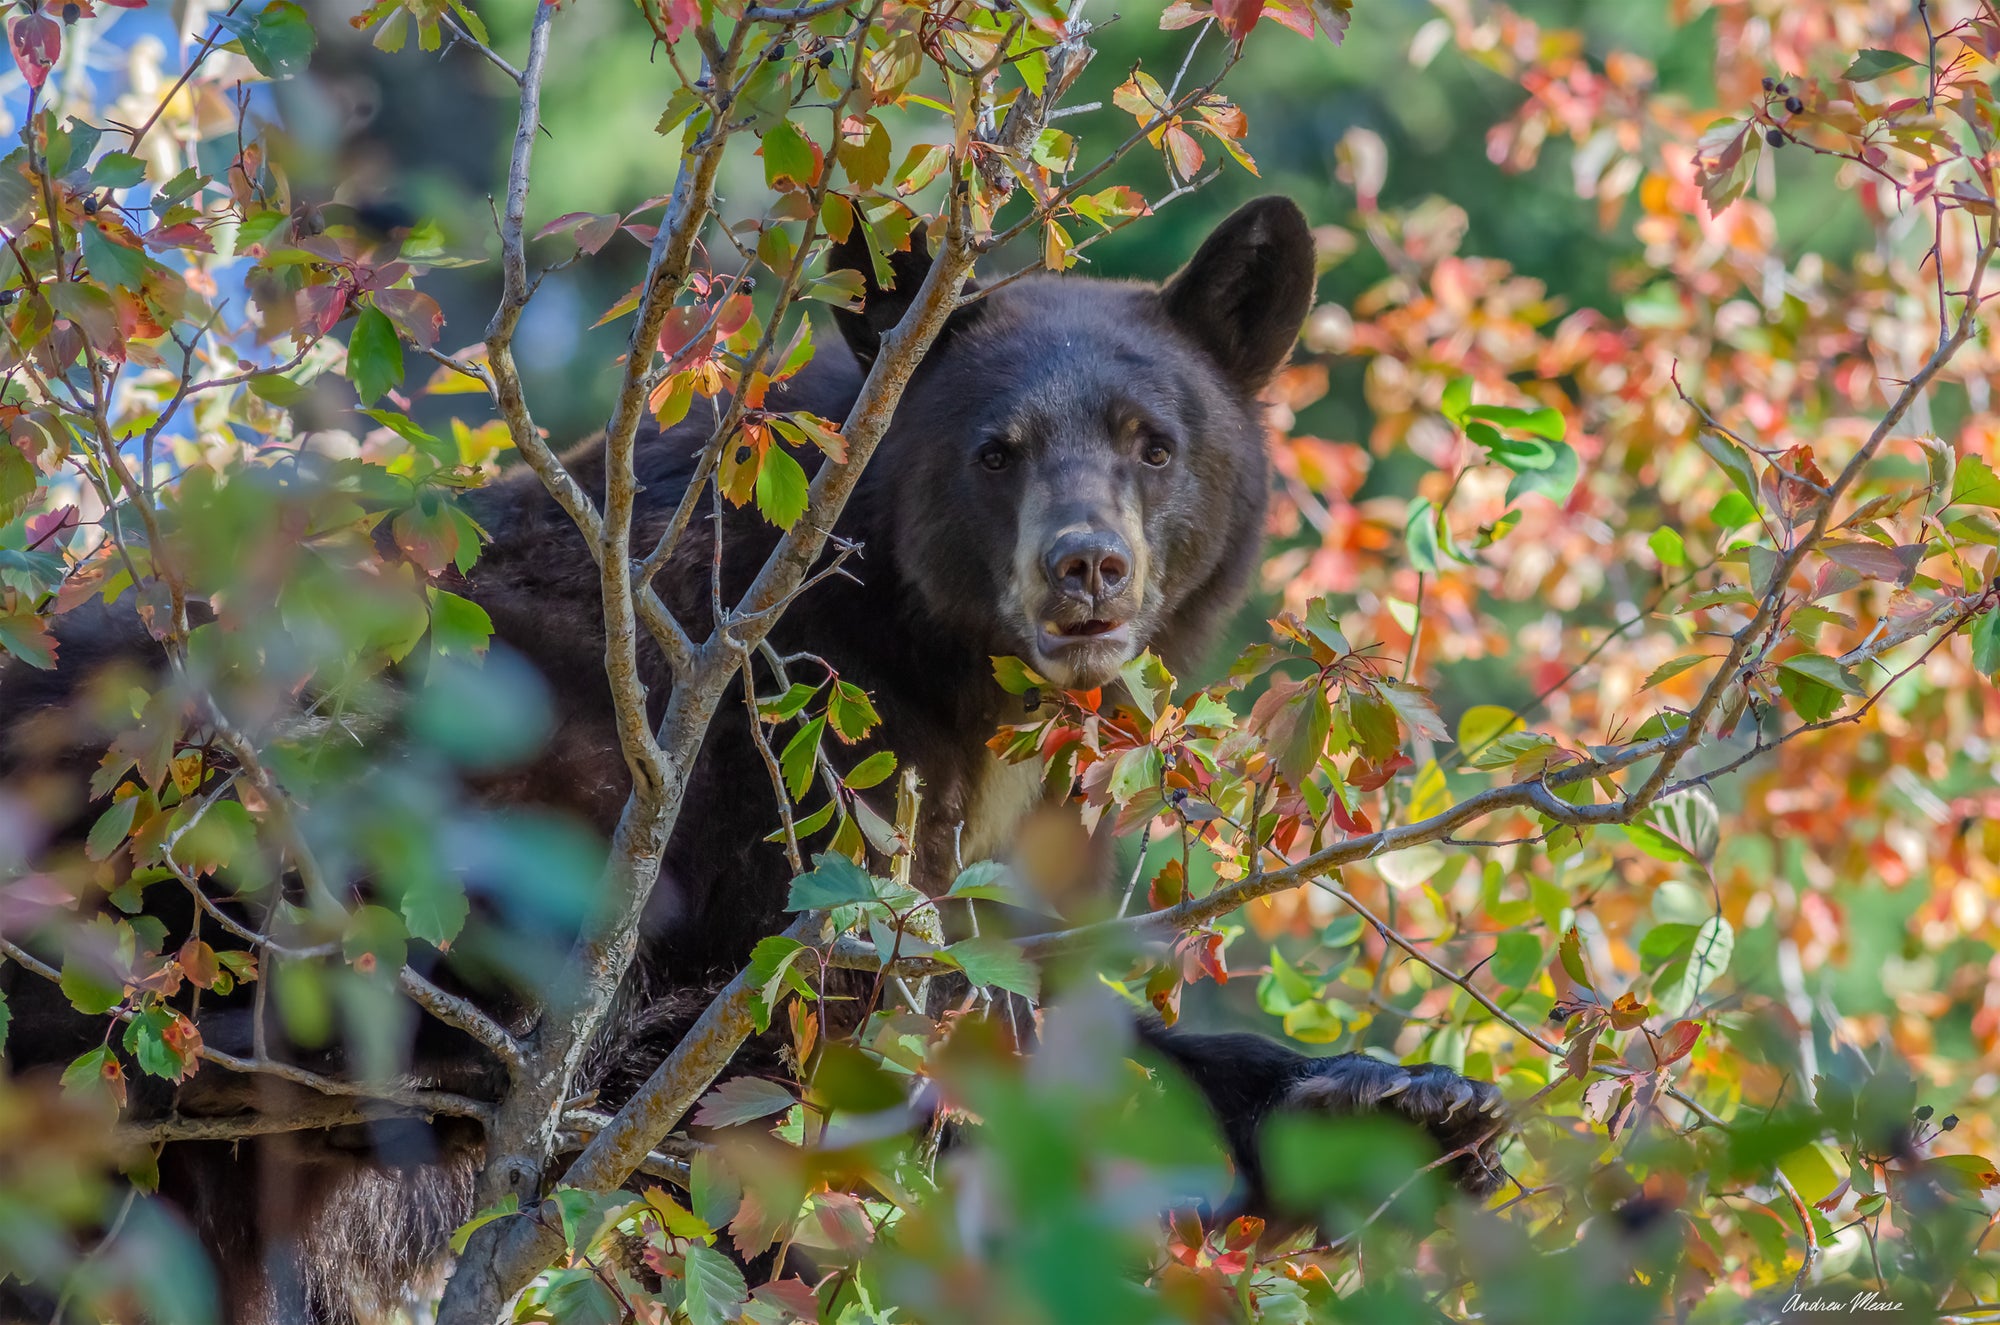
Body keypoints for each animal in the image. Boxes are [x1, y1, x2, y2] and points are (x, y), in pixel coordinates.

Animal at [0, 197, 1504, 1325]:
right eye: (995, 448)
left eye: (1154, 441)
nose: (1086, 569)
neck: (947, 668)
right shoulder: (784, 780)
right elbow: (823, 1063)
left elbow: (1033, 1008)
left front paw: (1401, 1104)